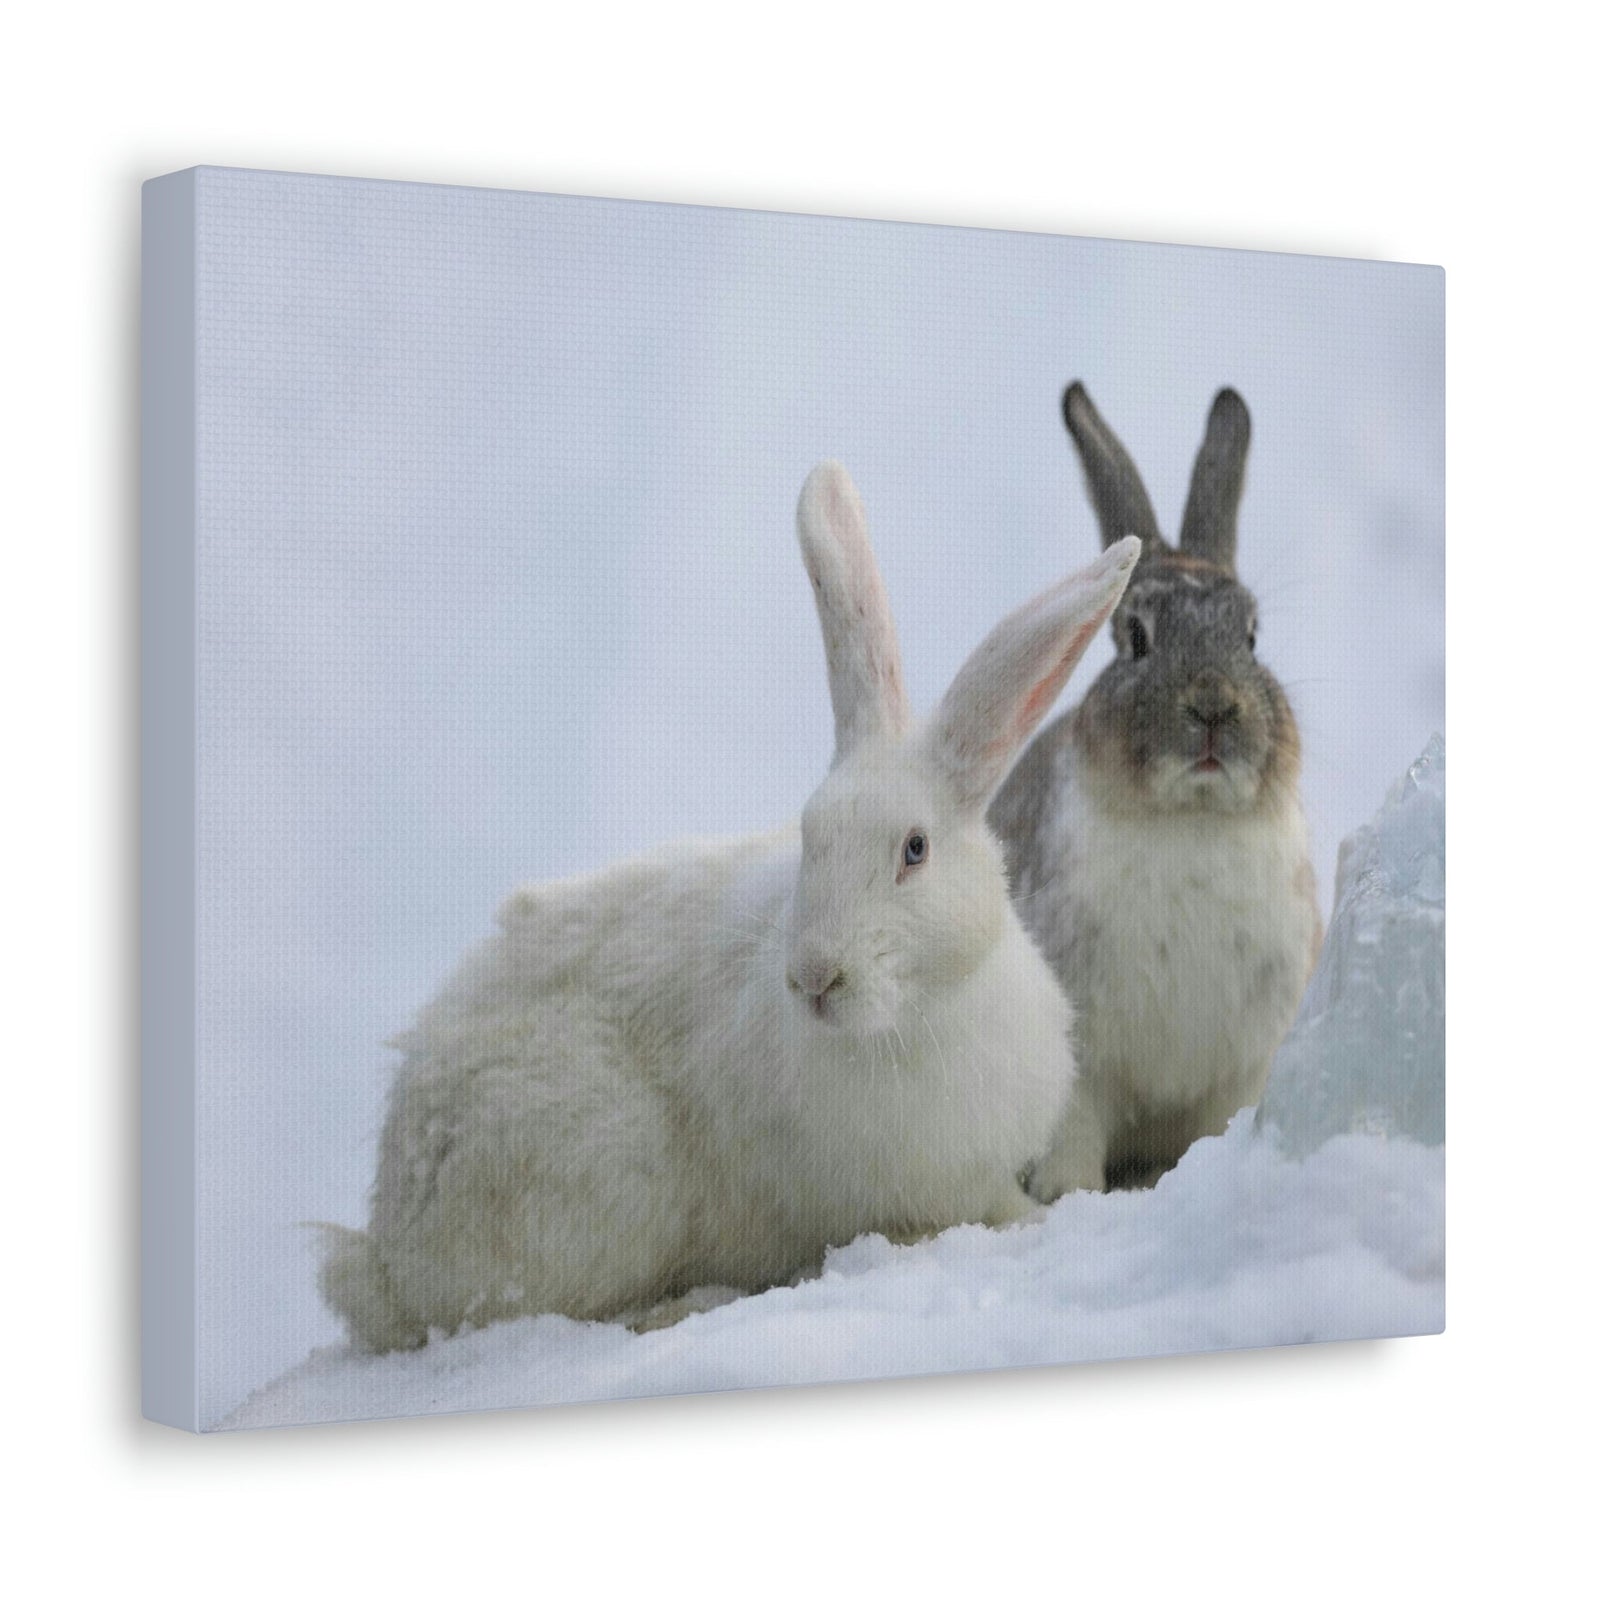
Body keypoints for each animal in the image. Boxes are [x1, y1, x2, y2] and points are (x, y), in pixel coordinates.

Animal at [321, 461, 1140, 1351]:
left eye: (914, 850)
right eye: (810, 838)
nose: (814, 977)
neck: (919, 1014)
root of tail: (389, 1259)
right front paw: (1035, 1218)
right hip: (599, 1176)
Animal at [989, 385, 1322, 1196]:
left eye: (1252, 636)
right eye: (1136, 637)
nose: (1213, 706)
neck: (1188, 818)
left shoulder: (1243, 1068)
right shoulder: (1080, 1063)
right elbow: (1073, 1133)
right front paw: (1066, 1196)